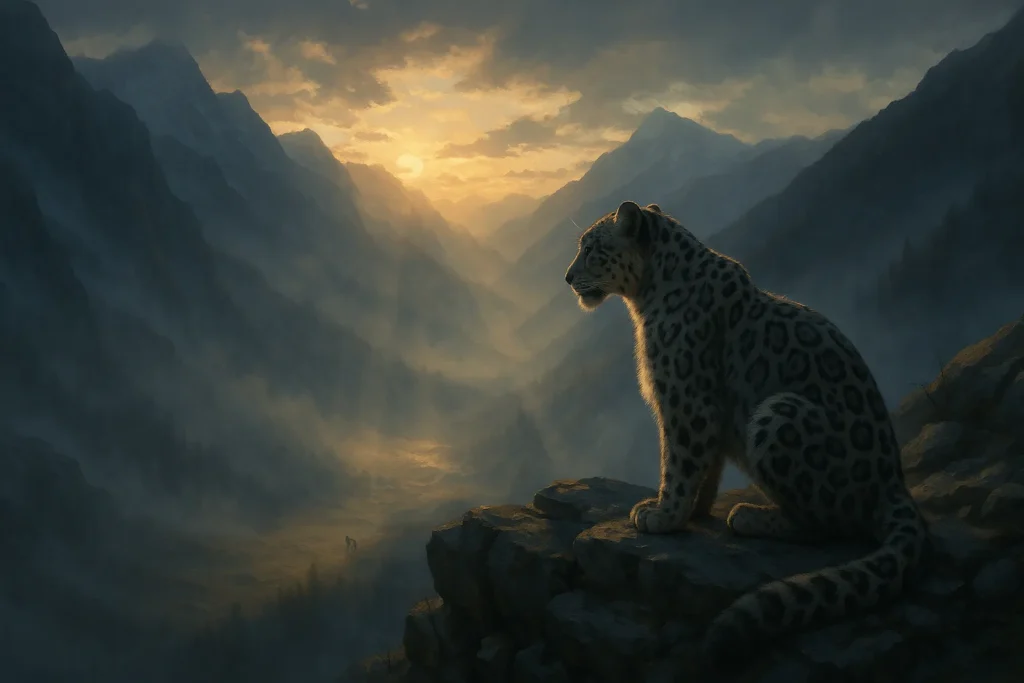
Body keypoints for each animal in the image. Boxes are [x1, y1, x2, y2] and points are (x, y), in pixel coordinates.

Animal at [563, 200, 929, 665]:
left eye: (592, 248)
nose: (567, 277)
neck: (645, 298)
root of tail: (894, 481)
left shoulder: (687, 400)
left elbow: (678, 461)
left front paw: (663, 514)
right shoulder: (704, 412)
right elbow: (705, 467)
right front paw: (694, 511)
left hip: (779, 414)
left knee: (827, 524)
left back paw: (750, 516)